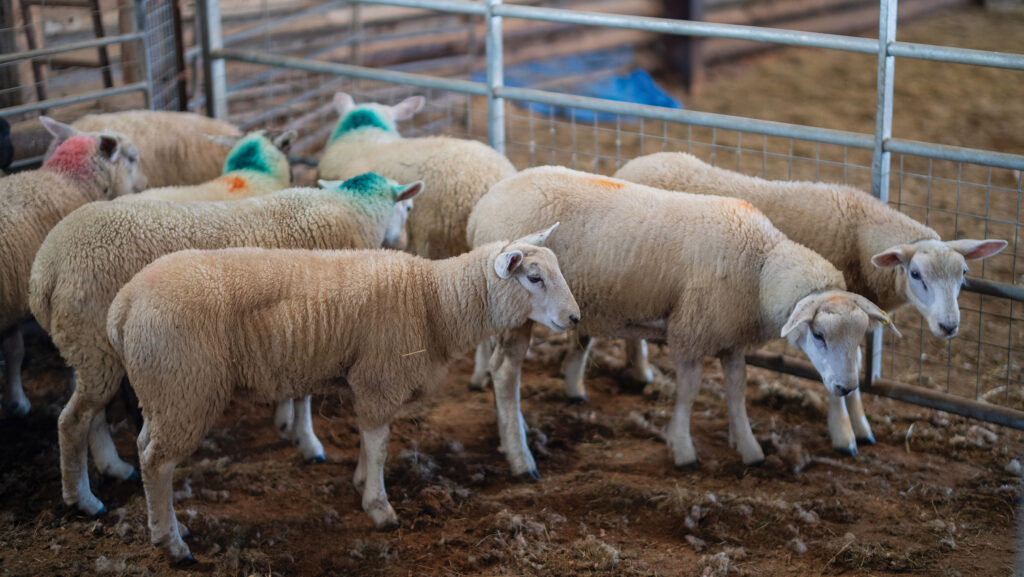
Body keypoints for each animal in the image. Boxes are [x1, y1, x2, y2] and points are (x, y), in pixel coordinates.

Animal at [1, 117, 145, 418]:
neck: (69, 183)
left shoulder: (12, 299)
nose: (145, 184)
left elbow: (13, 350)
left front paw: (15, 399)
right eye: (132, 158)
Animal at [29, 173, 422, 516]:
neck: (349, 213)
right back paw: (85, 500)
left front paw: (288, 426)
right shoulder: (317, 325)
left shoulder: (298, 330)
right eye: (407, 208)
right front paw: (309, 442)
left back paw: (112, 468)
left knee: (90, 414)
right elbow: (305, 397)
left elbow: (294, 389)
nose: (405, 242)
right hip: (97, 344)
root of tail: (46, 266)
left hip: (85, 347)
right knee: (73, 421)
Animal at [106, 228, 578, 565]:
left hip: (165, 392)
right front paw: (379, 507)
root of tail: (122, 306)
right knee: (156, 461)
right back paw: (172, 544)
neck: (433, 302)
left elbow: (370, 440)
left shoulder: (366, 381)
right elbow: (381, 443)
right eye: (534, 278)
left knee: (147, 449)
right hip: (185, 386)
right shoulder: (380, 377)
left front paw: (361, 481)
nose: (575, 318)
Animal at [468, 166, 899, 478]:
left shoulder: (731, 338)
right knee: (505, 374)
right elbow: (689, 392)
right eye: (819, 334)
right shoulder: (691, 331)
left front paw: (750, 449)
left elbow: (737, 391)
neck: (760, 267)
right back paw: (520, 457)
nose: (846, 387)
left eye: (861, 337)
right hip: (516, 314)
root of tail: (481, 208)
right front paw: (683, 449)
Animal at [613, 151, 1007, 454]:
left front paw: (860, 425)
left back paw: (639, 370)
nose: (949, 326)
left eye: (964, 273)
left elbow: (853, 363)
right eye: (915, 274)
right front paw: (844, 433)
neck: (860, 237)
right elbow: (834, 370)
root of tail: (633, 164)